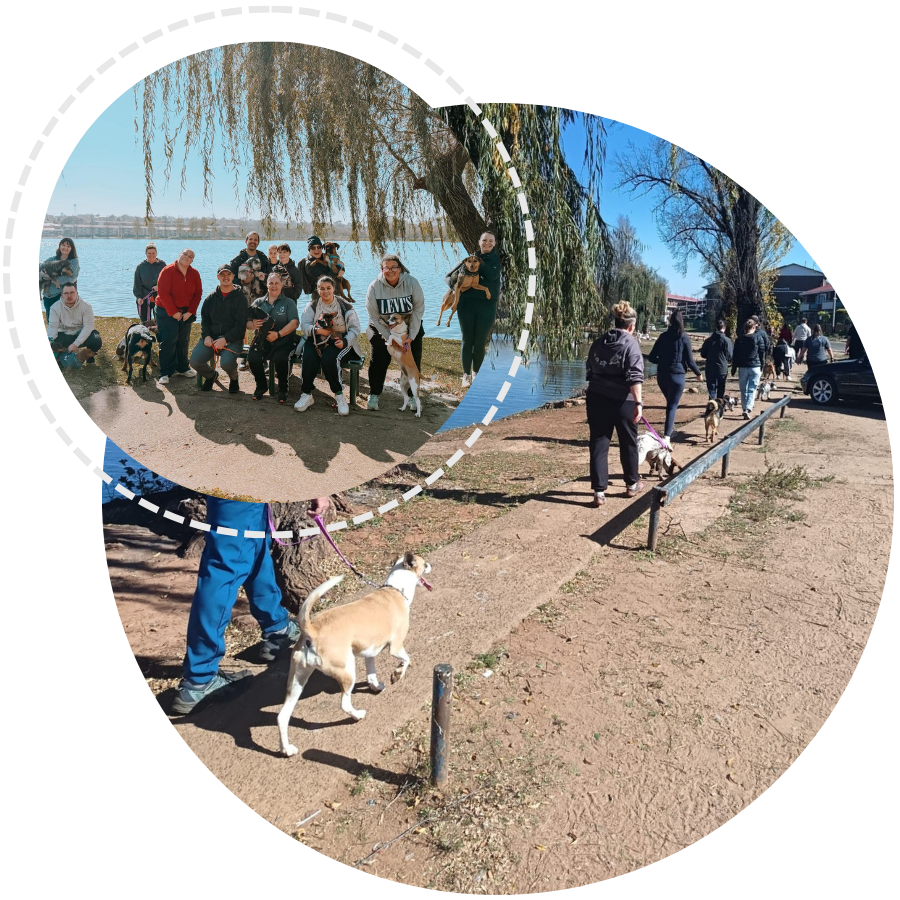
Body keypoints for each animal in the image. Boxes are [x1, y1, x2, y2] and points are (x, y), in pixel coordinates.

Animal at [277, 552, 433, 753]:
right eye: (424, 564)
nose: (430, 565)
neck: (396, 589)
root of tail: (312, 630)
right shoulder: (396, 647)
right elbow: (407, 660)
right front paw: (397, 674)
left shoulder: (370, 652)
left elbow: (372, 674)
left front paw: (376, 686)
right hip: (347, 671)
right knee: (344, 703)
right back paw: (357, 715)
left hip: (297, 681)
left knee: (282, 716)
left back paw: (287, 749)